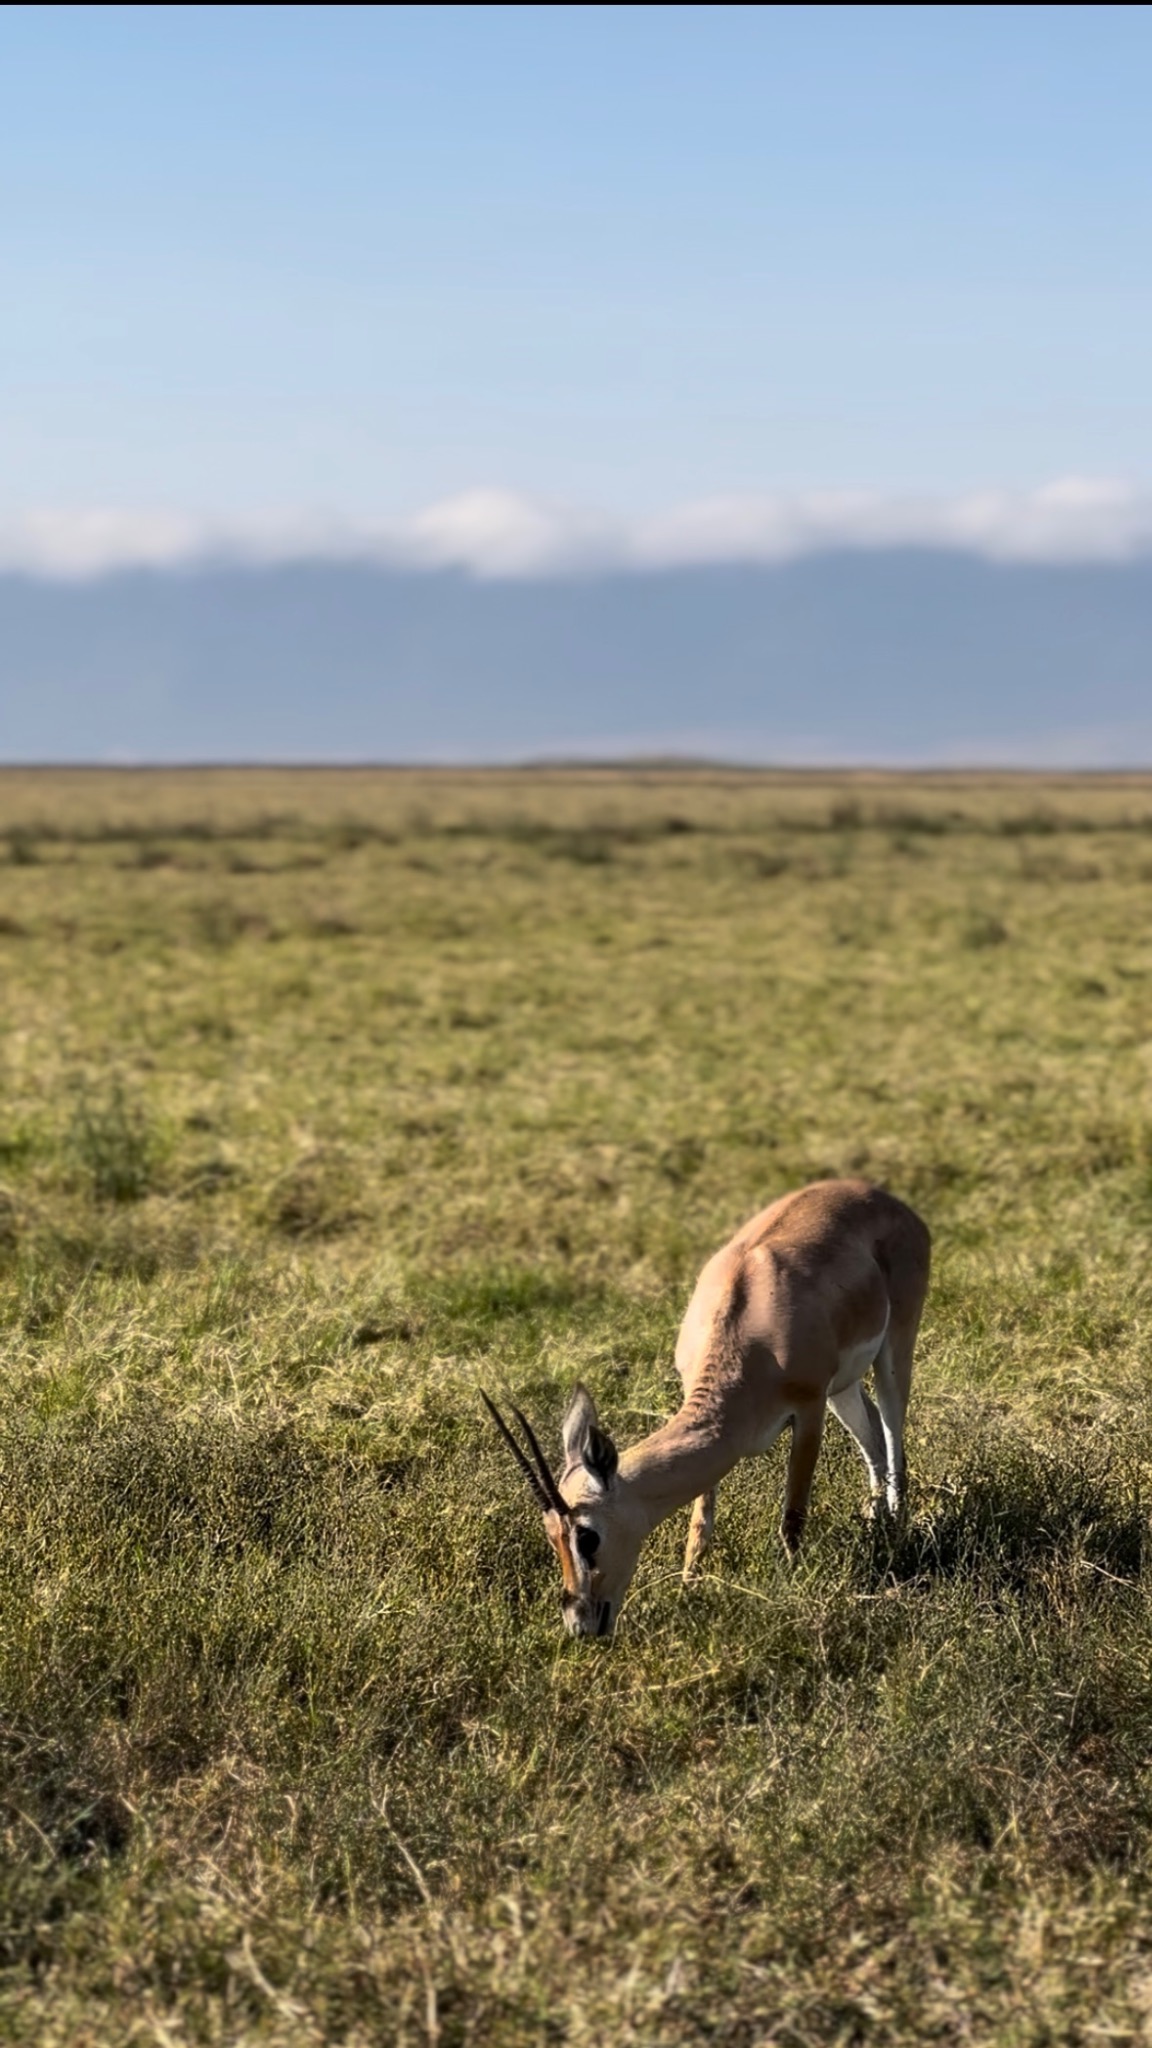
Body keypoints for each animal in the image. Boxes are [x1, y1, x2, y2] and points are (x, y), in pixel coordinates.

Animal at [483, 1179, 930, 1639]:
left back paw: (897, 1527)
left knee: (892, 1432)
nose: (579, 1622)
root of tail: (881, 1196)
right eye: (551, 1536)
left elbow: (792, 1514)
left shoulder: (809, 1410)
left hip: (892, 1353)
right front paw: (687, 1586)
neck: (748, 1338)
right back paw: (874, 1520)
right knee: (871, 1434)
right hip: (843, 1388)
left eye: (587, 1536)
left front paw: (787, 1580)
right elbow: (700, 1521)